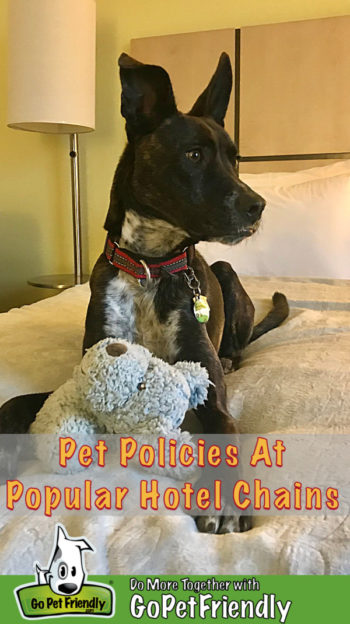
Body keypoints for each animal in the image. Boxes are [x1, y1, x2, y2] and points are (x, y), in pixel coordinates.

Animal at [0, 51, 288, 532]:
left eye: (235, 160)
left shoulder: (209, 387)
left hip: (226, 272)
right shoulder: (88, 367)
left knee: (239, 343)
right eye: (194, 154)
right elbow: (17, 401)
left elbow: (227, 430)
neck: (150, 267)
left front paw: (224, 500)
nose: (258, 206)